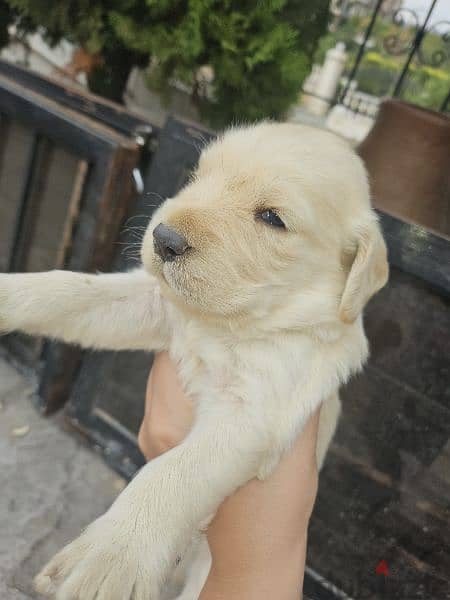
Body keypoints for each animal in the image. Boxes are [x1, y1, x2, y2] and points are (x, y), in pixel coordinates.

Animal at [0, 123, 386, 600]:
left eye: (272, 218)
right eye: (198, 177)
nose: (164, 239)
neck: (226, 324)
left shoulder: (253, 414)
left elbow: (172, 472)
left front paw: (113, 554)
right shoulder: (153, 305)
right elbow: (69, 290)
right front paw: (7, 294)